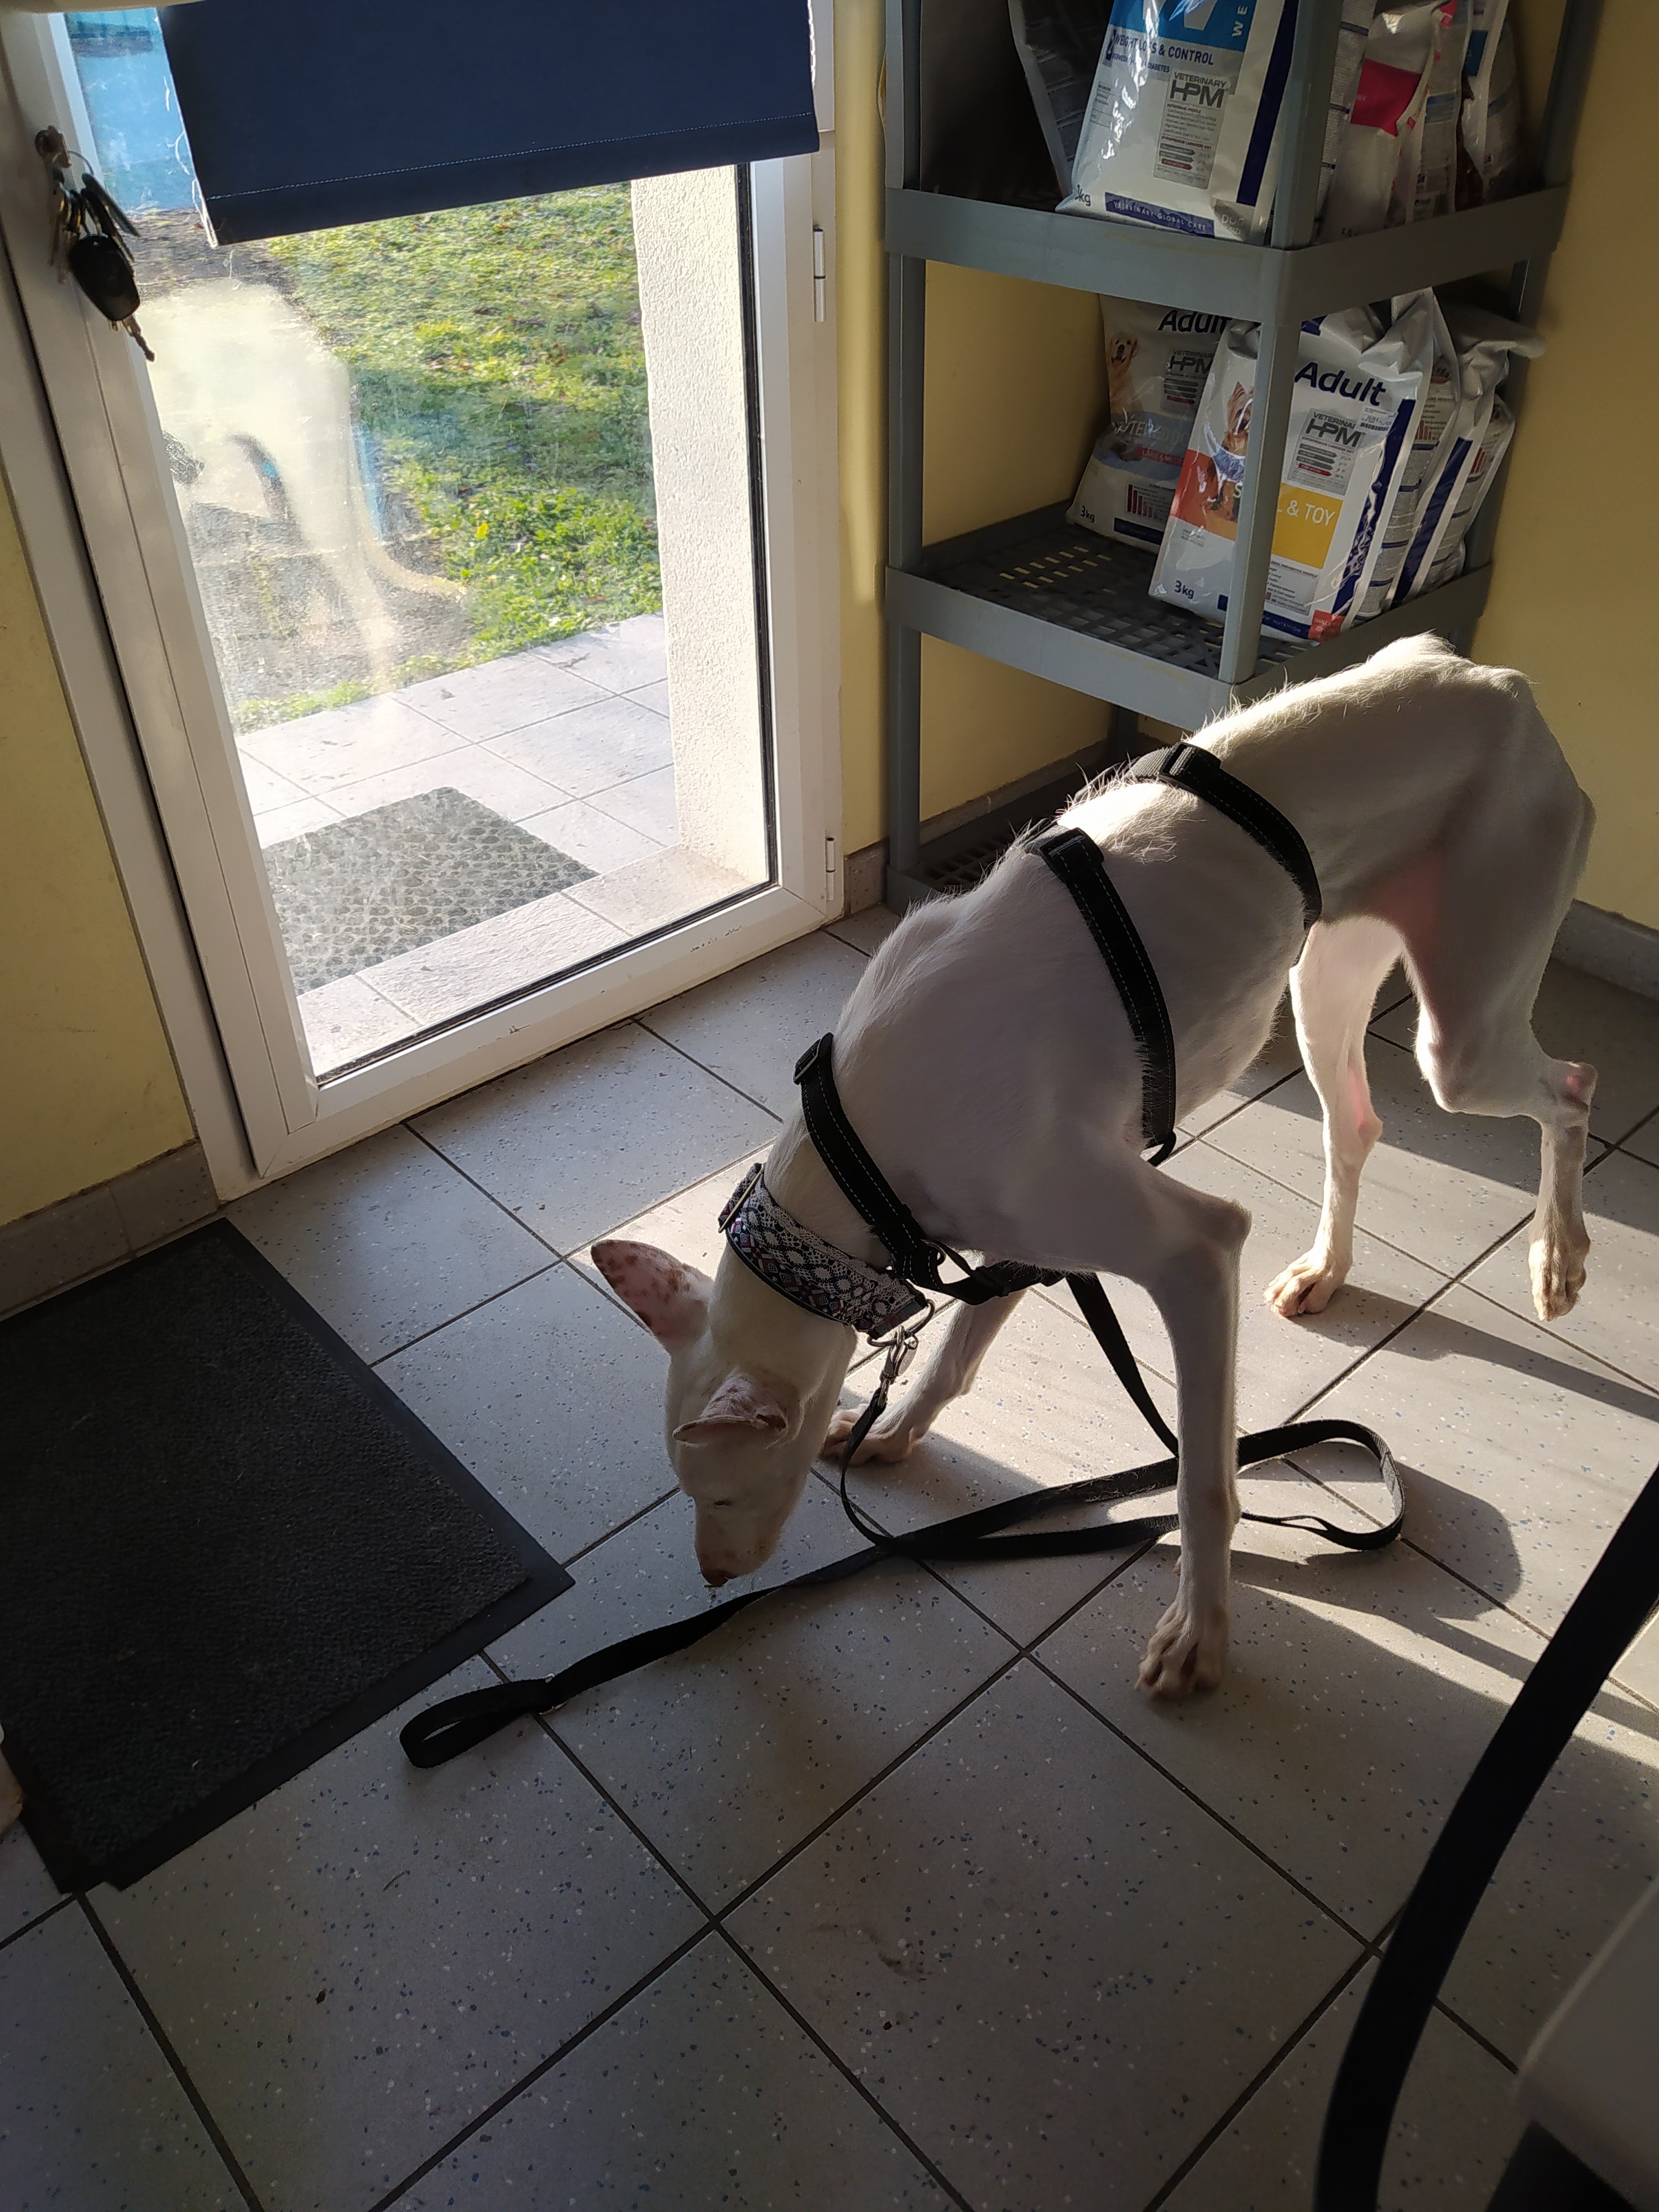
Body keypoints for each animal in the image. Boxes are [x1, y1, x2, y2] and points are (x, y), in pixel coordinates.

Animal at [595, 637, 1595, 1698]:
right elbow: (955, 1359)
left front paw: (1202, 1630)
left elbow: (1204, 1482)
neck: (855, 1151)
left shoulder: (1190, 1251)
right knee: (1357, 1125)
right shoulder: (1013, 1238)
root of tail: (1487, 678)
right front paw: (900, 1433)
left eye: (721, 1495)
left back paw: (1560, 1257)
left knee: (1569, 1089)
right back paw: (1328, 1270)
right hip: (1326, 981)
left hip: (1465, 1037)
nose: (713, 1579)